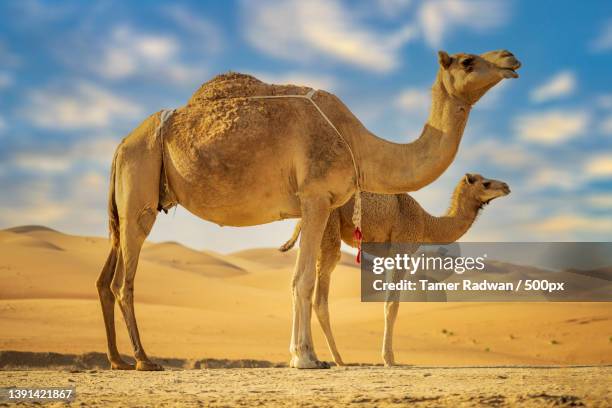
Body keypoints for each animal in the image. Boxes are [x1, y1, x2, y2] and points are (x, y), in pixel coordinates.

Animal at [280, 174, 510, 364]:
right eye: (486, 183)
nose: (506, 186)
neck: (426, 223)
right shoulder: (402, 246)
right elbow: (392, 305)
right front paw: (389, 359)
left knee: (297, 283)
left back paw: (302, 356)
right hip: (329, 228)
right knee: (318, 295)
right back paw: (334, 358)